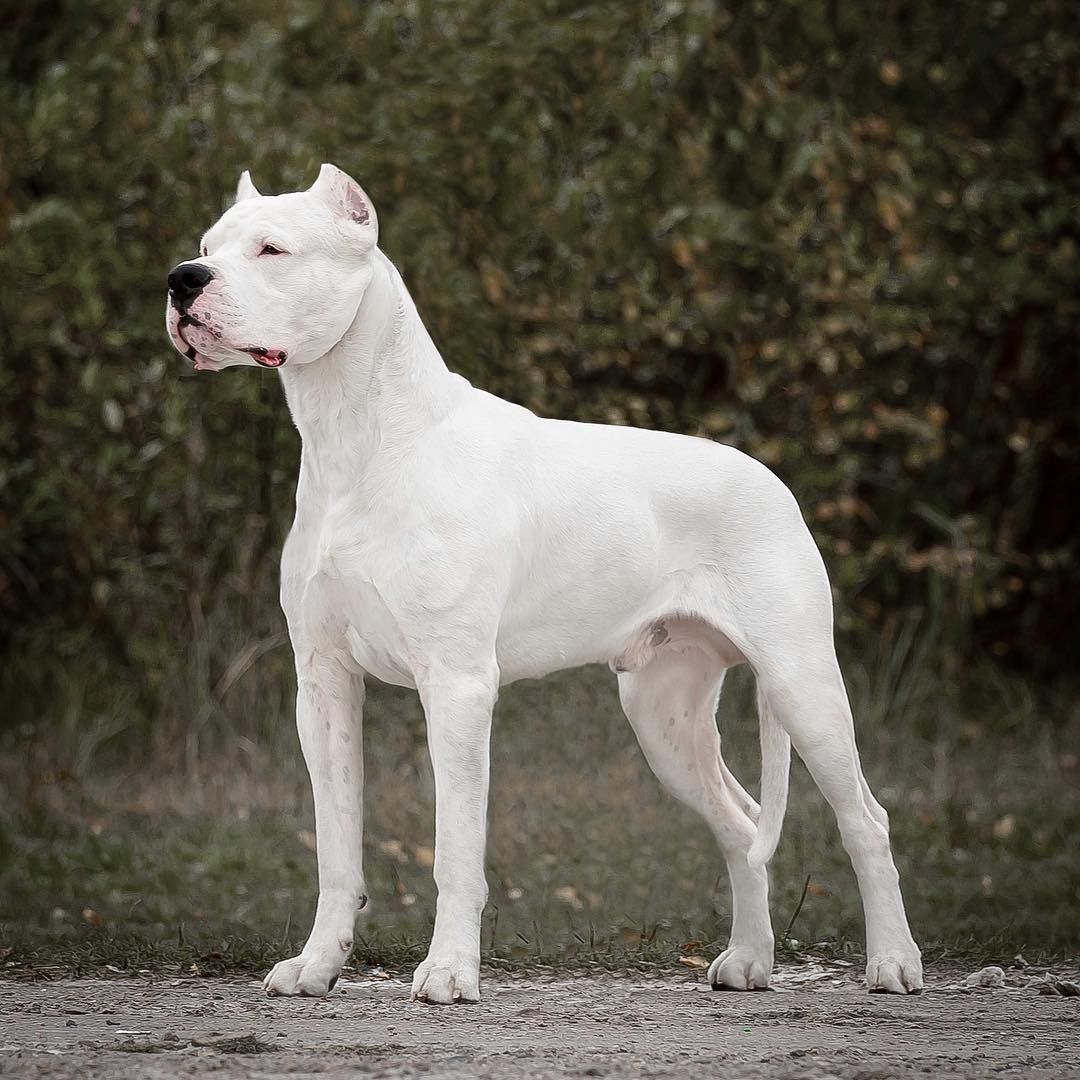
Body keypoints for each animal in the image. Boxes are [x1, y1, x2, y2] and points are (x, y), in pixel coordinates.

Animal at [164, 162, 924, 1002]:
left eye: (273, 249)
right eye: (208, 246)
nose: (182, 279)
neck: (356, 438)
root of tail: (773, 482)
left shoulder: (457, 686)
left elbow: (455, 851)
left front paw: (449, 971)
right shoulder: (323, 684)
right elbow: (335, 849)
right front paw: (318, 965)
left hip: (802, 683)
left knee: (866, 821)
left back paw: (894, 963)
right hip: (664, 714)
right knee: (742, 822)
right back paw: (750, 961)